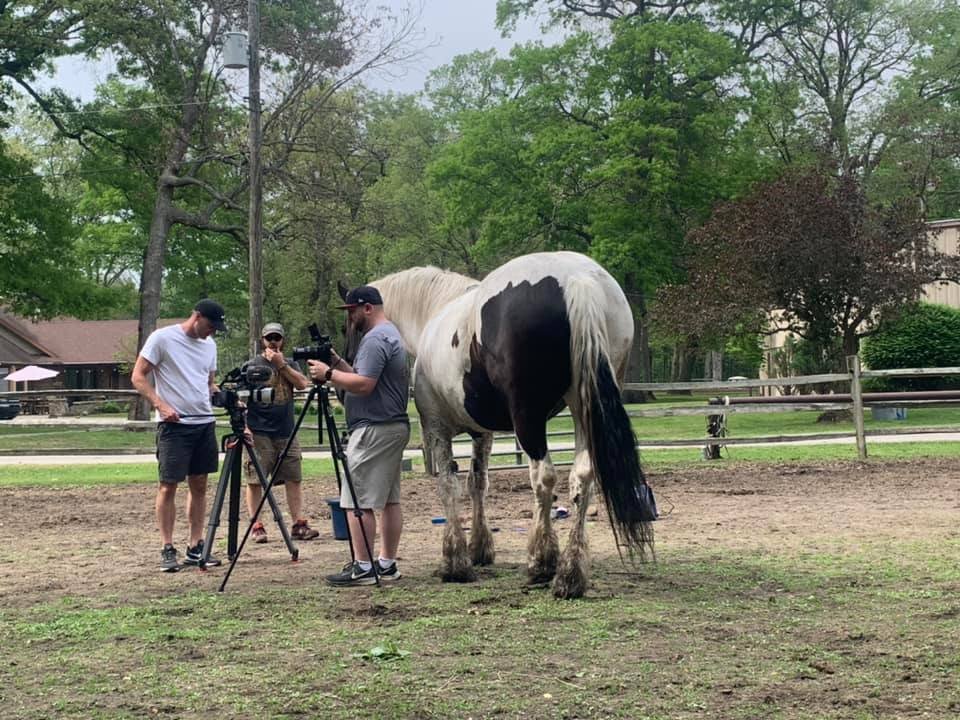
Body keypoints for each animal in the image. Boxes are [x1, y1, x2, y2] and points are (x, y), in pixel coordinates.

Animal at [340, 251, 655, 599]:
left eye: (348, 325)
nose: (344, 382)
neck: (435, 310)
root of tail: (576, 278)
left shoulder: (436, 427)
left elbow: (448, 485)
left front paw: (455, 561)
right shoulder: (482, 433)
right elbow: (477, 483)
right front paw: (479, 548)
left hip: (529, 418)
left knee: (544, 479)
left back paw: (541, 563)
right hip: (585, 408)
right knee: (582, 478)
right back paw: (570, 573)